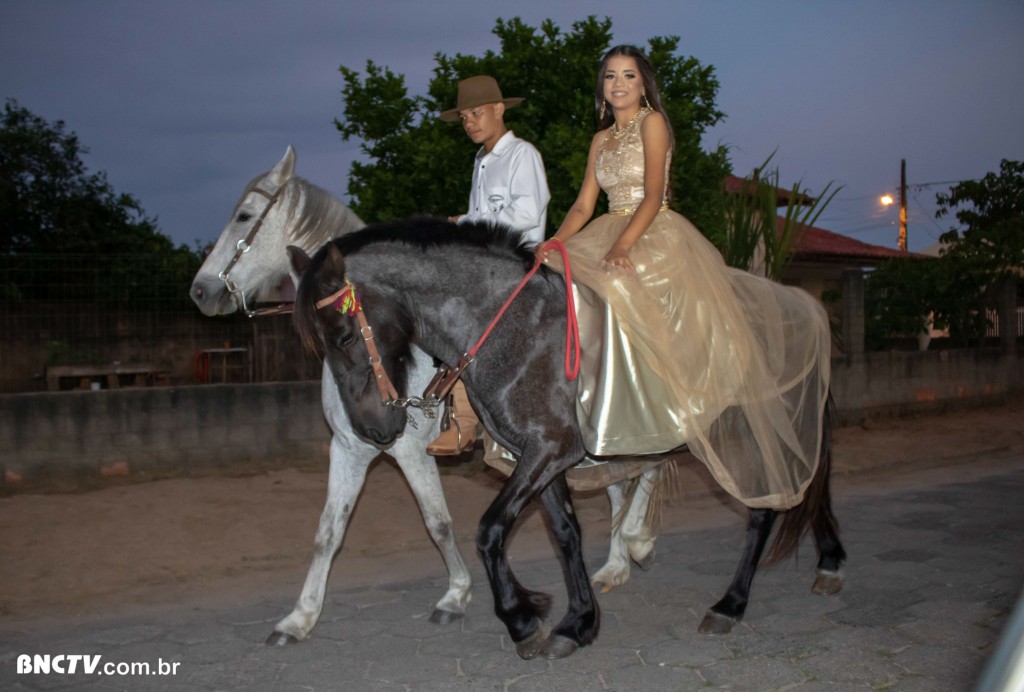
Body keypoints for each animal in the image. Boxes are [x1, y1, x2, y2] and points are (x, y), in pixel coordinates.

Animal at [188, 147, 664, 646]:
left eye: (243, 215)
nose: (201, 290)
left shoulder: (411, 449)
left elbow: (438, 521)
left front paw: (457, 596)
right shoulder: (349, 448)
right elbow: (328, 532)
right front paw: (299, 618)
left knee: (643, 469)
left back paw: (633, 547)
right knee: (618, 481)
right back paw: (617, 563)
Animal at [288, 219, 846, 660]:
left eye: (343, 337)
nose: (371, 431)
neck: (512, 328)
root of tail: (800, 303)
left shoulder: (548, 452)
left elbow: (489, 529)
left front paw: (521, 619)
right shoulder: (541, 456)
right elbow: (564, 533)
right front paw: (576, 622)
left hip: (753, 430)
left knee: (766, 507)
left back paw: (730, 604)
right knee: (806, 488)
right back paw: (828, 562)